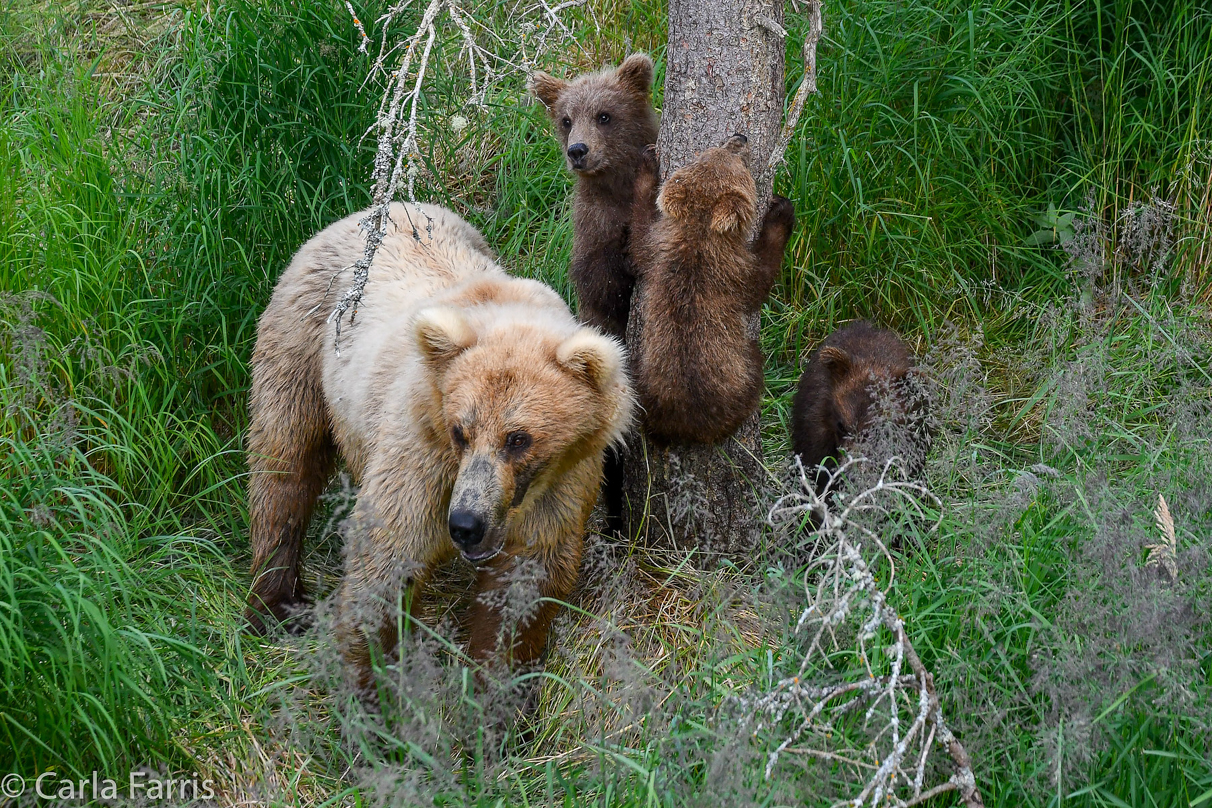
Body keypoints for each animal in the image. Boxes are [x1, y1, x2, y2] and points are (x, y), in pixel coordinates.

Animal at [243, 203, 635, 688]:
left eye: (518, 438)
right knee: (285, 459)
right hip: (303, 338)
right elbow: (387, 561)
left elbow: (522, 585)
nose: (466, 523)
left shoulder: (561, 484)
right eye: (459, 431)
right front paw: (371, 687)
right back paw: (276, 602)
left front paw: (496, 688)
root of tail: (368, 210)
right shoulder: (422, 455)